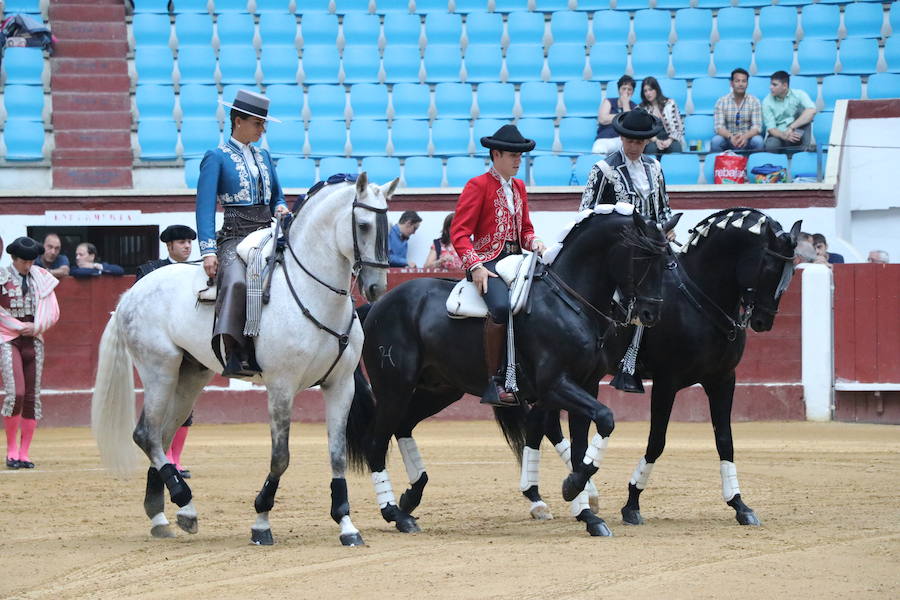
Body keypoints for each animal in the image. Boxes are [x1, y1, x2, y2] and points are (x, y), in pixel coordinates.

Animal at [92, 172, 398, 544]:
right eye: (364, 225)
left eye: (388, 224)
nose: (376, 287)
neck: (311, 291)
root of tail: (131, 293)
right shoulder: (281, 386)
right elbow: (280, 456)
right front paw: (261, 522)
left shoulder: (340, 386)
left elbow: (336, 454)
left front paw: (346, 525)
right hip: (158, 370)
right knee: (146, 434)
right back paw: (185, 504)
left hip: (189, 376)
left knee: (162, 435)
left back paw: (162, 515)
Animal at [348, 209, 672, 536]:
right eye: (644, 256)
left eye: (668, 260)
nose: (651, 314)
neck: (568, 301)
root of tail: (379, 304)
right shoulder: (556, 385)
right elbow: (605, 418)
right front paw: (572, 490)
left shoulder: (587, 385)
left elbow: (584, 444)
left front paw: (587, 513)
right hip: (394, 388)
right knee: (375, 442)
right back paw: (394, 513)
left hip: (440, 389)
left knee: (403, 426)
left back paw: (410, 498)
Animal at [510, 209, 800, 528]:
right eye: (769, 268)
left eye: (791, 272)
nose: (763, 321)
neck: (700, 296)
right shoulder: (666, 382)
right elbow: (656, 441)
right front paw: (631, 504)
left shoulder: (723, 379)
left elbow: (725, 440)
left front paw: (739, 504)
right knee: (543, 423)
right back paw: (554, 496)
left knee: (540, 423)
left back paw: (554, 495)